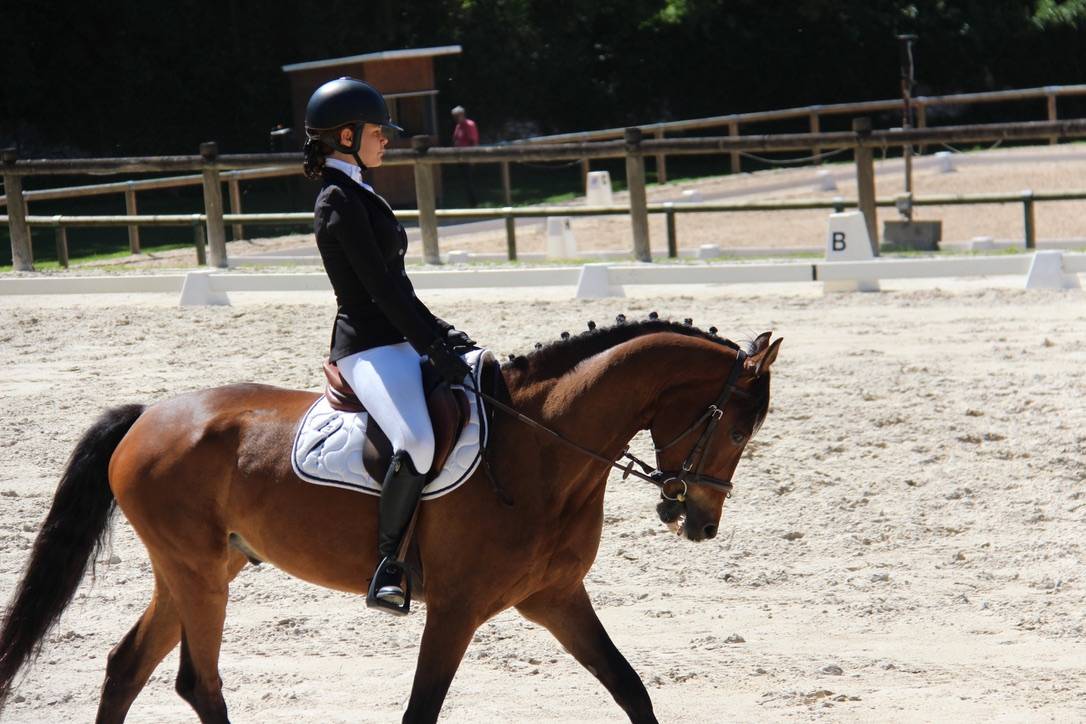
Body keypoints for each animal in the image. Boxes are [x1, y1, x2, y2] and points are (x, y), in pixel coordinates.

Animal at [0, 318, 780, 723]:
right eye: (740, 428)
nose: (699, 522)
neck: (544, 449)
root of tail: (147, 415)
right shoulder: (457, 608)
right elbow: (419, 712)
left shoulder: (554, 598)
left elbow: (630, 689)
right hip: (197, 572)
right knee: (198, 683)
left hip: (201, 567)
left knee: (128, 666)